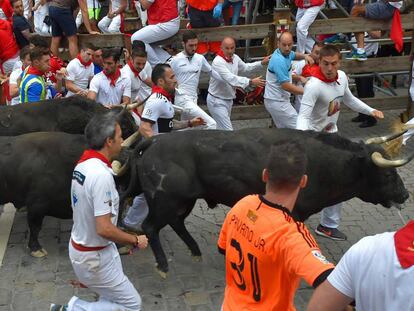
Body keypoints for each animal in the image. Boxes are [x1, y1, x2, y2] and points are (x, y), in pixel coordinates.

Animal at [119, 128, 410, 276]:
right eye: (387, 173)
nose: (405, 195)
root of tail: (155, 140)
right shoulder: (295, 213)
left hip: (184, 200)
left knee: (177, 223)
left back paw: (195, 252)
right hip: (164, 199)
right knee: (151, 227)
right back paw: (164, 265)